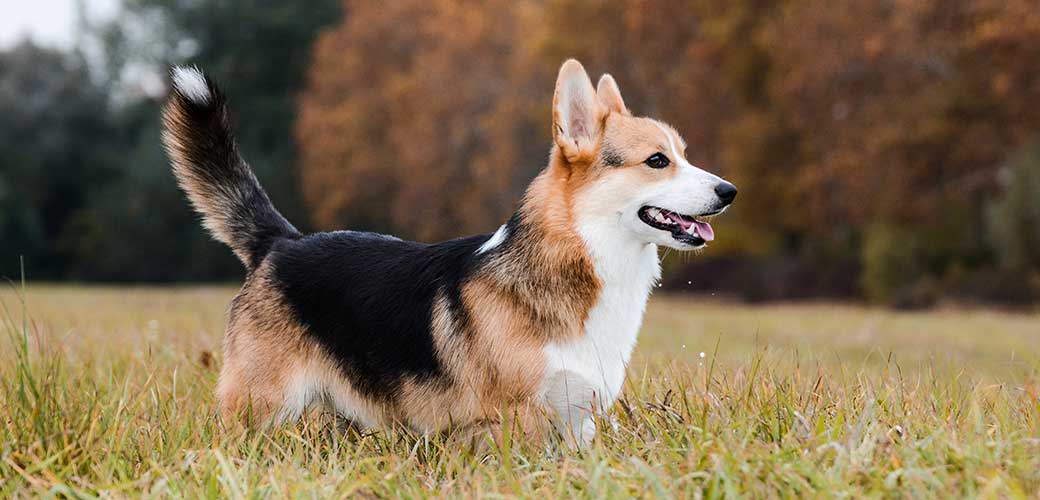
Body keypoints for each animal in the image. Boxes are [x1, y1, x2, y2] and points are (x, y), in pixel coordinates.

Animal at [160, 58, 732, 444]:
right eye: (657, 161)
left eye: (683, 154)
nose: (730, 191)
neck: (581, 256)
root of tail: (281, 241)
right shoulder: (515, 422)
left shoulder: (577, 424)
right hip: (259, 408)